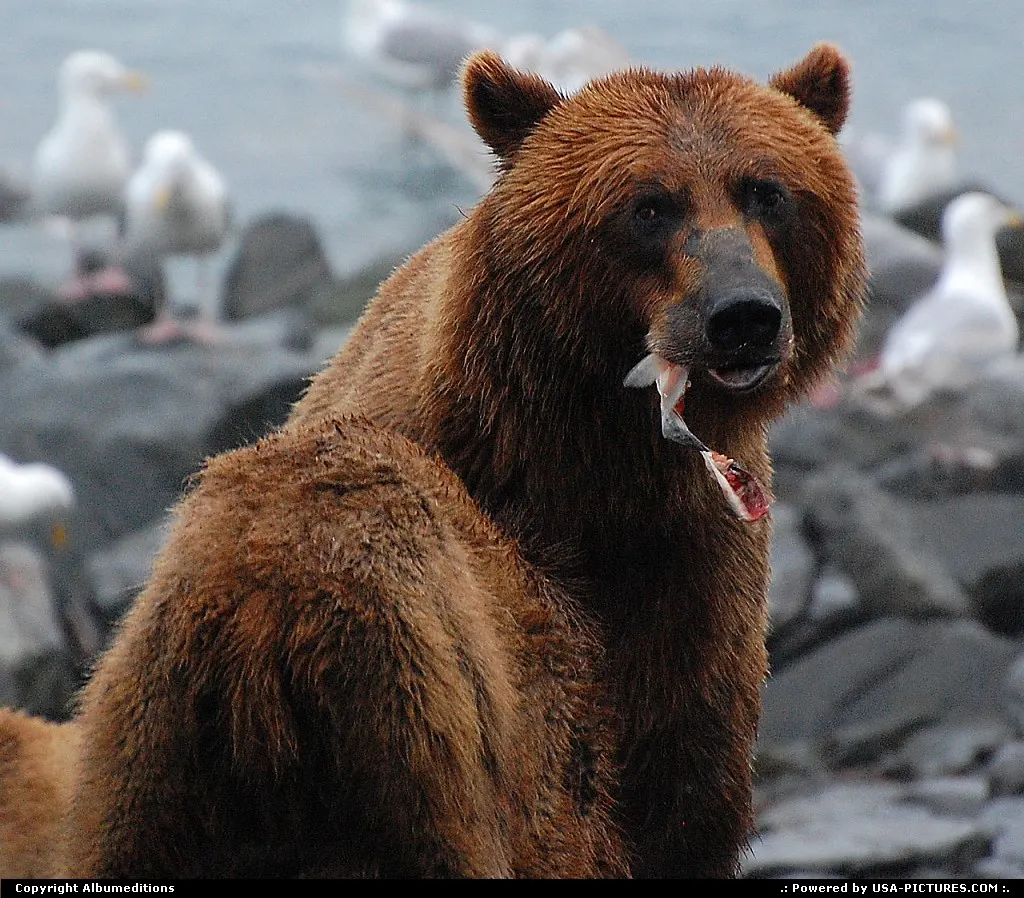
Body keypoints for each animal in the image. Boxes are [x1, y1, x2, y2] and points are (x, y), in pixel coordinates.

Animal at [11, 44, 865, 878]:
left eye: (769, 192)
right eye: (648, 205)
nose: (742, 315)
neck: (587, 463)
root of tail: (257, 645)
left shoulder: (688, 566)